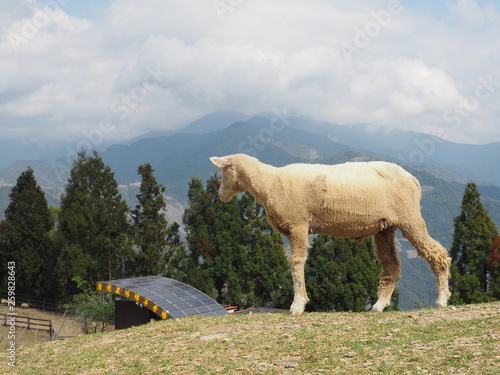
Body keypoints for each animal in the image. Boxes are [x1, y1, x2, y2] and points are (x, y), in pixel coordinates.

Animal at [209, 154, 452, 316]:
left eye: (223, 172)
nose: (220, 196)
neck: (269, 183)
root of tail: (413, 179)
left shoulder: (298, 224)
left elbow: (296, 262)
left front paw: (297, 305)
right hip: (386, 226)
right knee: (391, 266)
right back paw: (378, 306)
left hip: (409, 216)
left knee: (438, 254)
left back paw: (441, 300)